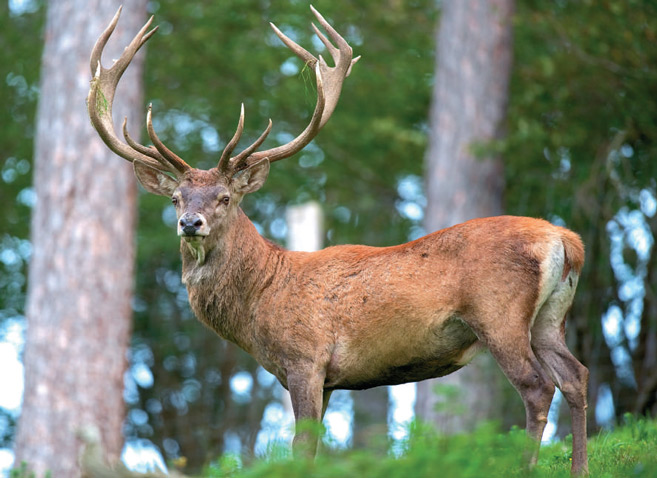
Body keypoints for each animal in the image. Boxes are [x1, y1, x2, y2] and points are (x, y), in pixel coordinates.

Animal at [87, 6, 589, 475]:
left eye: (225, 198)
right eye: (175, 197)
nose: (190, 223)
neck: (261, 299)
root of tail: (566, 240)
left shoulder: (305, 359)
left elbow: (301, 447)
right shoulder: (327, 379)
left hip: (499, 313)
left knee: (537, 386)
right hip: (550, 317)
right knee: (576, 375)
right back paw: (580, 468)